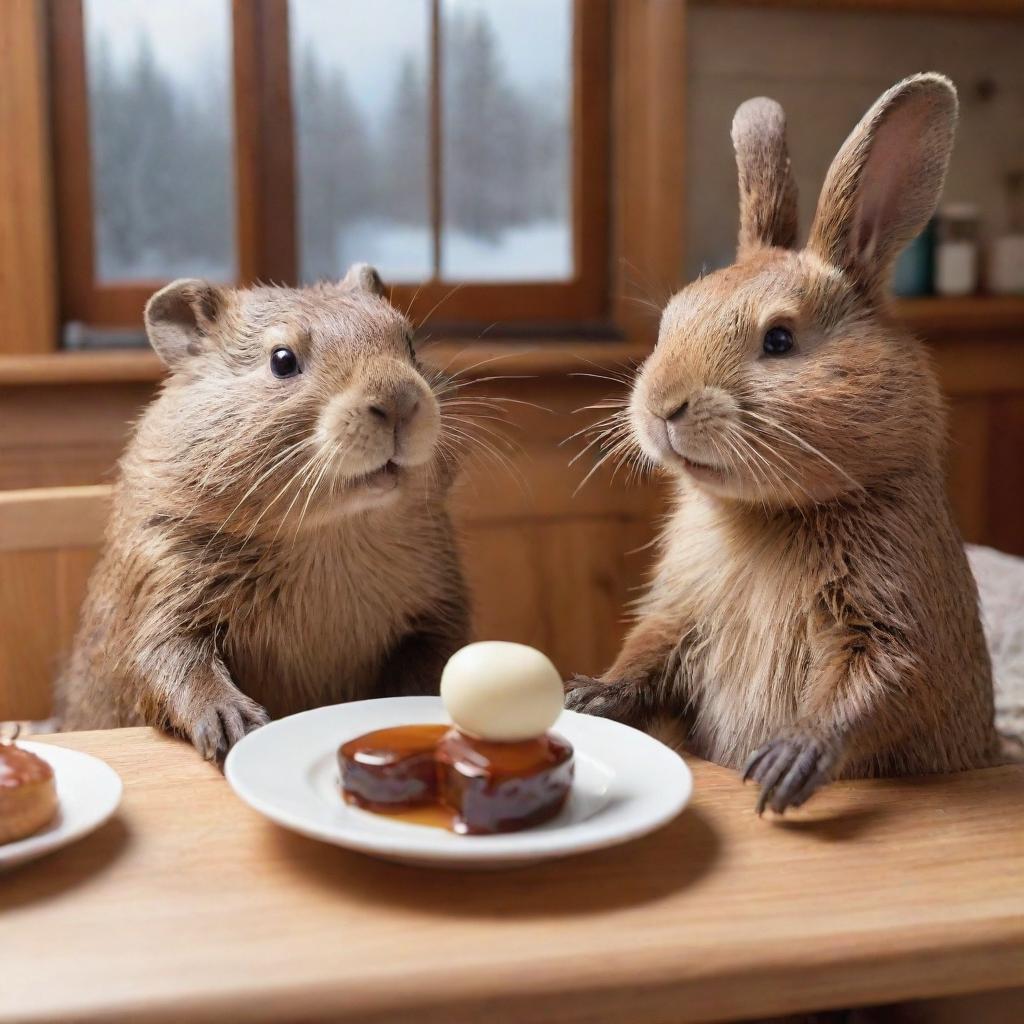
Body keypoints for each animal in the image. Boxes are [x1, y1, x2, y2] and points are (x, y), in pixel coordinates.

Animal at [565, 72, 995, 811]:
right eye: (673, 318)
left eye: (781, 340)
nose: (661, 408)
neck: (771, 515)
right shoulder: (678, 614)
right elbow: (648, 655)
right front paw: (588, 696)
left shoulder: (891, 621)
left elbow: (874, 683)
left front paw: (787, 762)